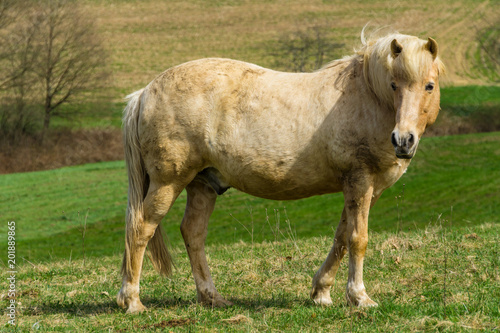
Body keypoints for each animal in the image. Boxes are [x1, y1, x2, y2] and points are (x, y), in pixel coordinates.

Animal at [117, 30, 446, 312]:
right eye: (394, 85)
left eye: (429, 86)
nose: (403, 140)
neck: (367, 96)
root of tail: (143, 94)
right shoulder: (359, 179)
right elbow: (357, 238)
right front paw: (360, 297)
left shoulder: (367, 188)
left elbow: (341, 237)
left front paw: (322, 292)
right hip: (167, 183)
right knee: (141, 228)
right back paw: (132, 300)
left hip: (202, 185)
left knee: (193, 233)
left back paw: (212, 297)